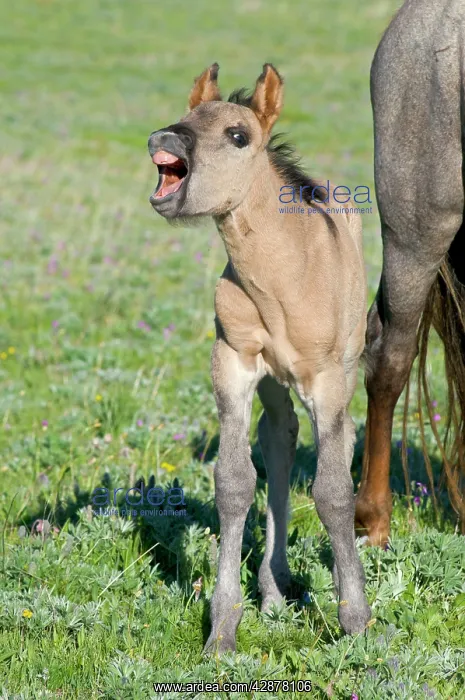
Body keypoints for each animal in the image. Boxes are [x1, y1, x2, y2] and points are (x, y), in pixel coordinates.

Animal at [148, 63, 371, 653]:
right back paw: (272, 591)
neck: (283, 278)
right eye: (183, 118)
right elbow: (234, 482)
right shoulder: (233, 362)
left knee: (336, 439)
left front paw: (358, 623)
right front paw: (222, 631)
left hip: (344, 369)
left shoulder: (326, 380)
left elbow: (333, 491)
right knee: (279, 437)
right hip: (273, 384)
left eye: (237, 135)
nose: (163, 141)